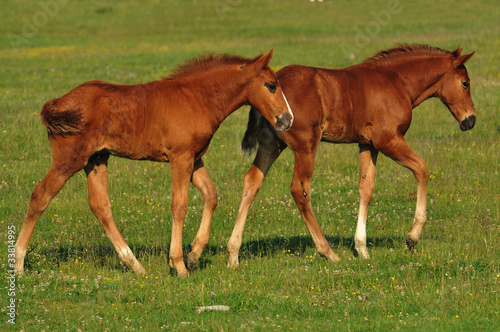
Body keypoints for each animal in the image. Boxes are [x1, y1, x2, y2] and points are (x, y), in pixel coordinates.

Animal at [15, 50, 294, 278]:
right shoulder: (180, 158)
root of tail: (57, 103)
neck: (197, 98)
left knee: (100, 205)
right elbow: (179, 205)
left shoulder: (194, 158)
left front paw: (193, 255)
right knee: (40, 196)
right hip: (69, 160)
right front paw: (178, 264)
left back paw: (135, 265)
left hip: (96, 159)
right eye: (271, 85)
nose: (287, 119)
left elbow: (211, 195)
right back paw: (18, 263)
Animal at [228, 44, 476, 268]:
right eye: (465, 83)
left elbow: (366, 189)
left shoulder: (368, 145)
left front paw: (362, 248)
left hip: (272, 146)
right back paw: (327, 251)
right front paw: (412, 237)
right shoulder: (389, 141)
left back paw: (233, 254)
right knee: (300, 189)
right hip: (305, 146)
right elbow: (422, 169)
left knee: (252, 182)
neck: (397, 82)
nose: (470, 120)